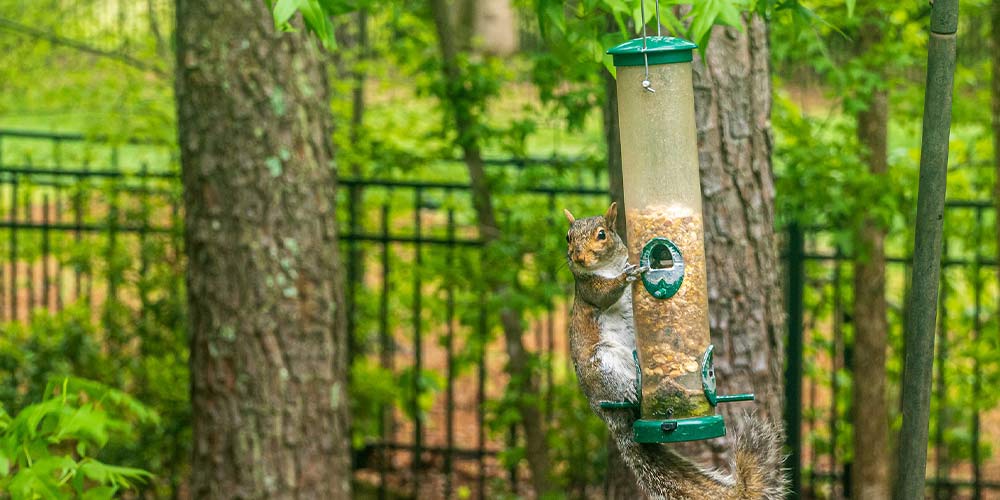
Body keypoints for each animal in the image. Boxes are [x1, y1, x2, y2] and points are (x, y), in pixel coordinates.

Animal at [564, 203, 788, 500]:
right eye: (568, 237)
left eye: (601, 234)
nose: (577, 256)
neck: (607, 266)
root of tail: (607, 416)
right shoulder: (588, 288)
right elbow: (604, 294)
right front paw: (627, 276)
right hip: (601, 363)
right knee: (615, 390)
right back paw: (627, 391)